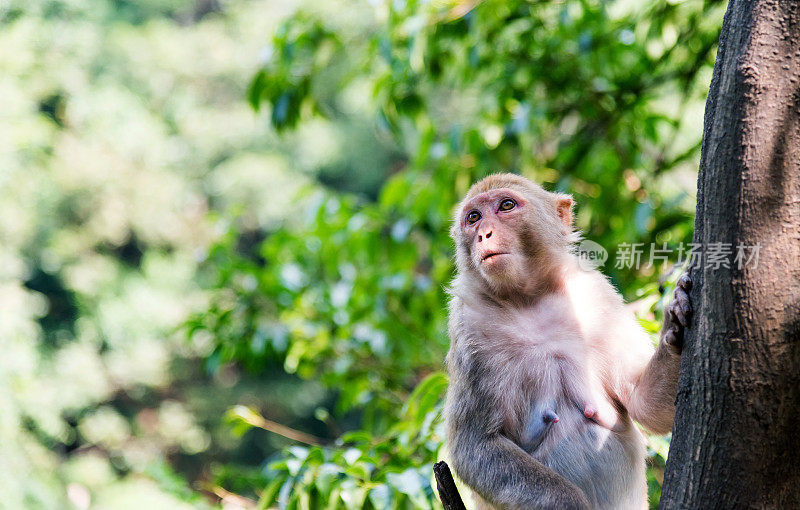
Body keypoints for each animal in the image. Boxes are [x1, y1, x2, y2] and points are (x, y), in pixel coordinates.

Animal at [444, 173, 692, 508]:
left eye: (506, 205)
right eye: (473, 217)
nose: (484, 233)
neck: (526, 299)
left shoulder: (597, 296)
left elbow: (644, 404)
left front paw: (675, 322)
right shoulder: (467, 327)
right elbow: (475, 446)